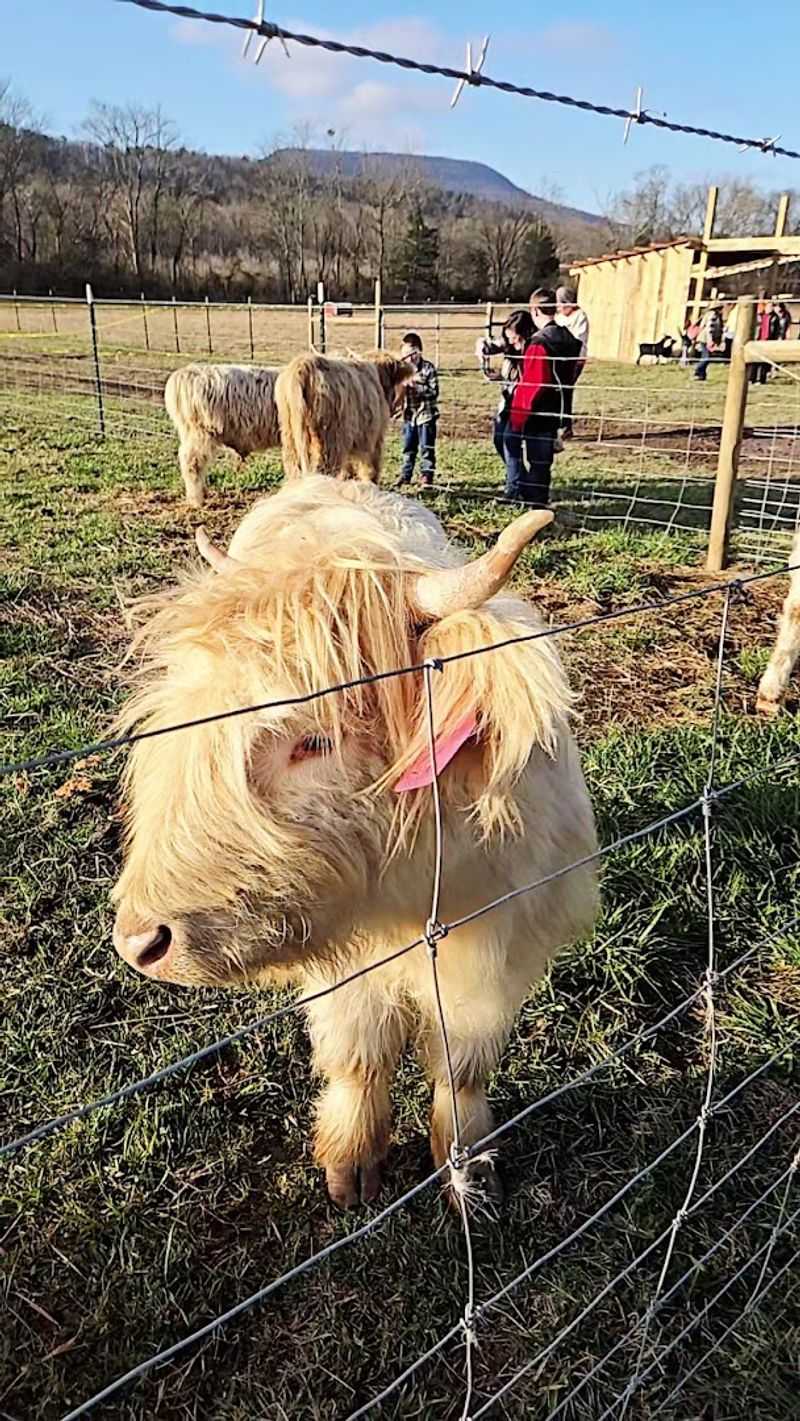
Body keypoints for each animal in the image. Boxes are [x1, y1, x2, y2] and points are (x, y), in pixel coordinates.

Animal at [111, 478, 599, 1208]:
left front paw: (468, 1168)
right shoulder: (343, 953)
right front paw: (352, 1160)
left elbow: (463, 1064)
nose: (142, 941)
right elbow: (359, 1050)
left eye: (315, 739)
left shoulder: (504, 939)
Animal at [276, 351, 415, 482]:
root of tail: (305, 364)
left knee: (294, 467)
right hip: (329, 440)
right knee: (322, 469)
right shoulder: (374, 435)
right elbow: (371, 465)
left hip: (290, 435)